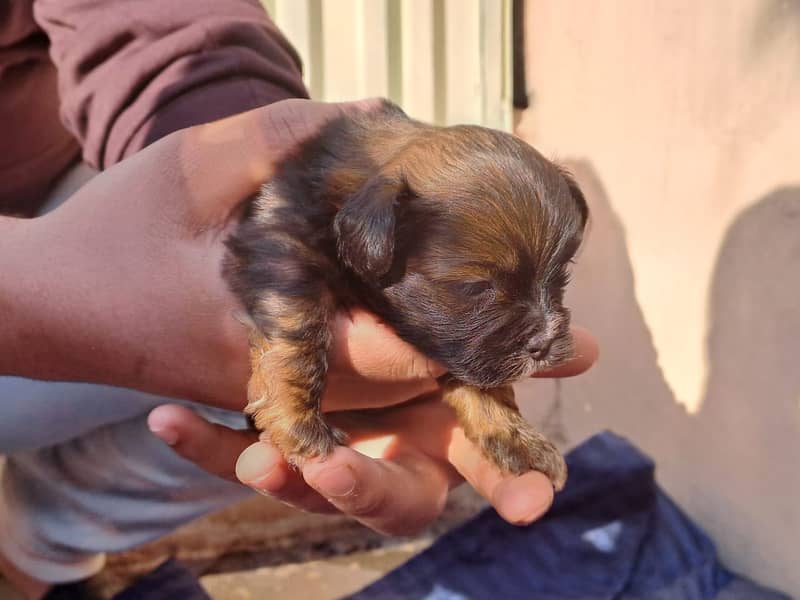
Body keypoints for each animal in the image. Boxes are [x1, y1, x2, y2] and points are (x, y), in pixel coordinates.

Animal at [225, 99, 588, 492]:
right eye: (476, 288)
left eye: (562, 272)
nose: (545, 344)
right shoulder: (281, 247)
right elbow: (297, 336)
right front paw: (297, 421)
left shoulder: (464, 348)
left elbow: (483, 382)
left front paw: (513, 435)